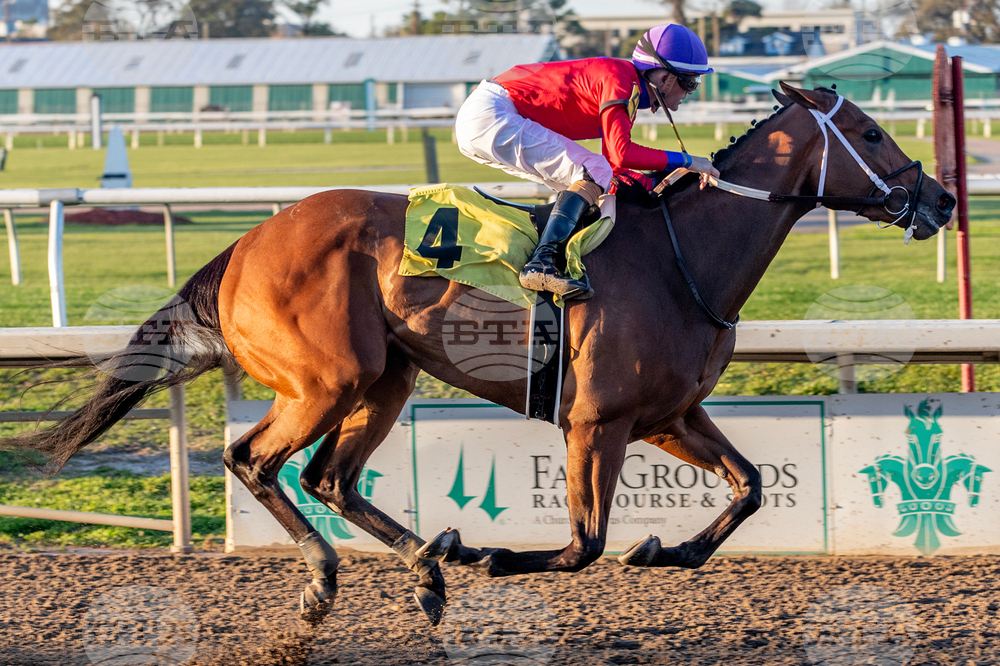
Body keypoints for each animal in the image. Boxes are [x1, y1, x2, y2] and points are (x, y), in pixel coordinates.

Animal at [2, 83, 955, 626]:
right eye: (872, 134)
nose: (941, 198)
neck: (683, 256)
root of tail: (243, 244)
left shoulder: (669, 415)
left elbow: (751, 487)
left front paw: (666, 552)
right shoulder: (595, 423)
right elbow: (583, 544)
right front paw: (495, 555)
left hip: (384, 377)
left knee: (328, 478)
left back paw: (426, 568)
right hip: (326, 380)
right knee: (254, 460)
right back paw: (332, 578)